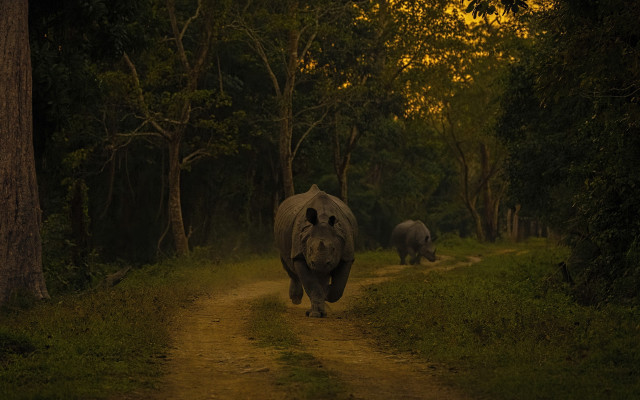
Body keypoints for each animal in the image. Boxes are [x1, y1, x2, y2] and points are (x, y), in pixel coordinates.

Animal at [274, 184, 358, 317]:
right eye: (309, 249)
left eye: (333, 249)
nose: (319, 263)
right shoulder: (299, 255)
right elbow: (311, 284)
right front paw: (315, 314)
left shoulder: (347, 256)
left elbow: (338, 287)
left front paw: (327, 293)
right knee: (288, 265)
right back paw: (296, 300)